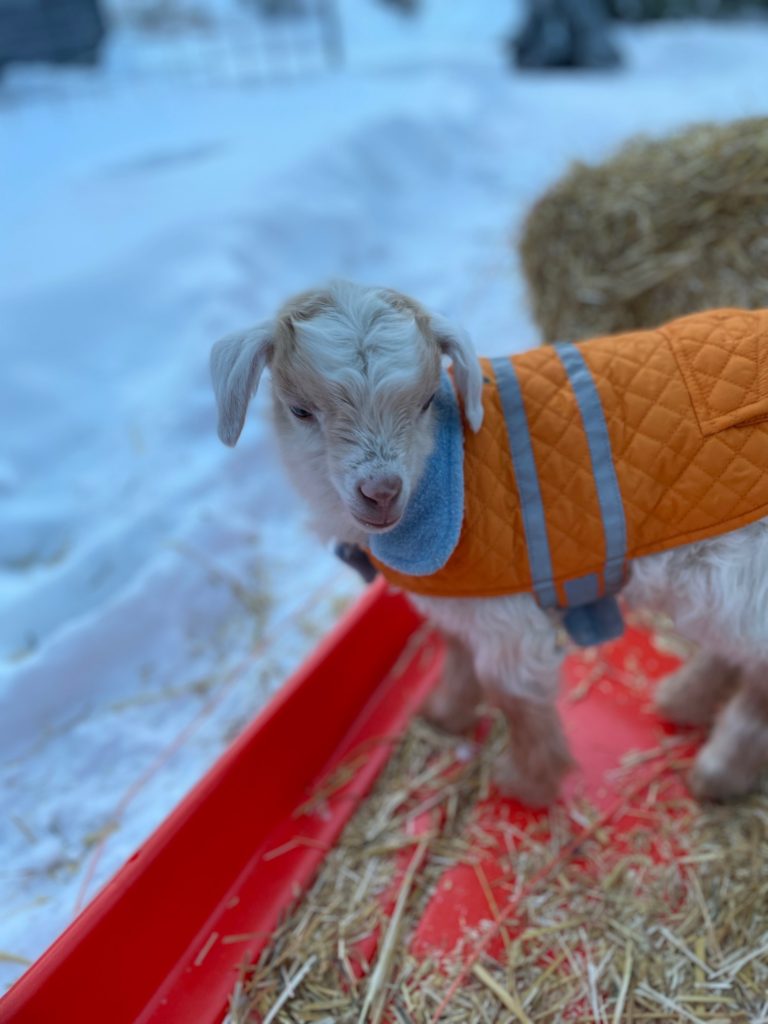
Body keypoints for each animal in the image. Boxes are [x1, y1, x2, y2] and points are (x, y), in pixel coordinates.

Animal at [211, 282, 768, 806]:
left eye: (423, 402)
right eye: (300, 410)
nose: (382, 491)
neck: (450, 460)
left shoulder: (506, 616)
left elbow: (513, 695)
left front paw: (526, 783)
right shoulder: (459, 598)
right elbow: (455, 651)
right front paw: (444, 713)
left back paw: (718, 770)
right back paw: (683, 700)